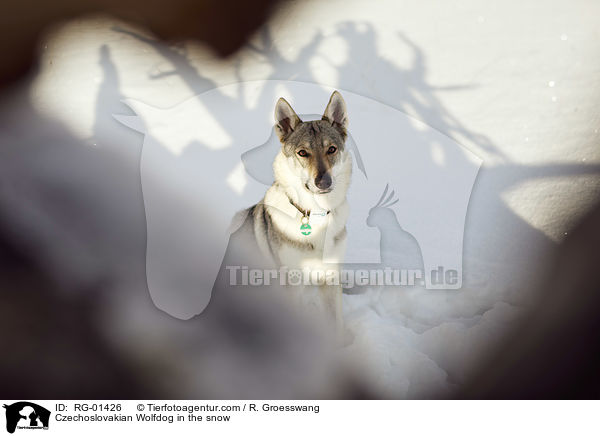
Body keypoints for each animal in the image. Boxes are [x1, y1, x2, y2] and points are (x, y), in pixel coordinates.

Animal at [230, 90, 352, 332]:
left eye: (331, 149)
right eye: (302, 153)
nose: (323, 182)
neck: (317, 214)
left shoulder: (330, 276)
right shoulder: (292, 284)